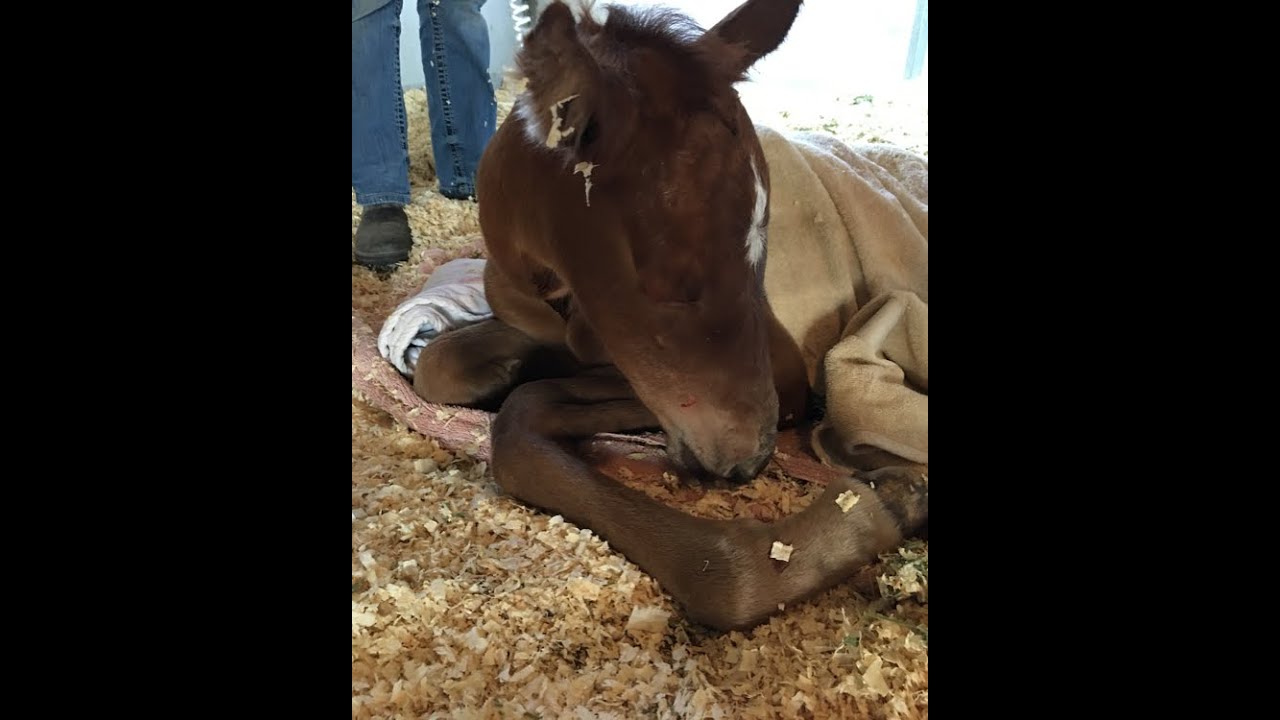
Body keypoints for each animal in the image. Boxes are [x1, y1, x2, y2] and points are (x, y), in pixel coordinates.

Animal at [413, 0, 928, 630]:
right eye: (673, 278)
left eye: (765, 250)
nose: (749, 460)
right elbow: (438, 367)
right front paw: (500, 372)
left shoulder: (780, 377)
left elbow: (522, 416)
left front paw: (874, 509)